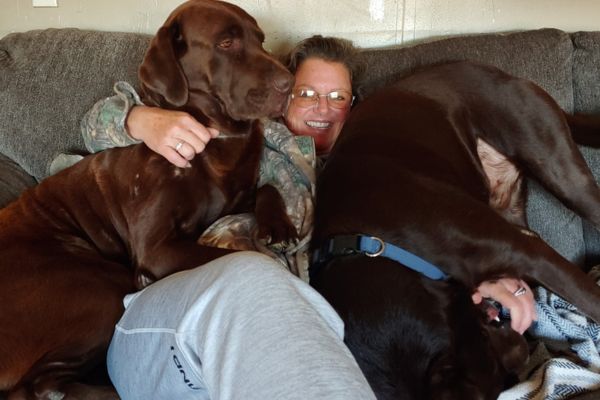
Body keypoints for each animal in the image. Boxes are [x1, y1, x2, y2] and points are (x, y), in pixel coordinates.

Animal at [0, 1, 296, 398]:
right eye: (227, 42)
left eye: (261, 40)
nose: (289, 84)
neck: (215, 143)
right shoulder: (157, 248)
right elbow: (246, 255)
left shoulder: (234, 199)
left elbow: (268, 188)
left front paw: (279, 225)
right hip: (100, 285)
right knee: (42, 385)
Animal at [312, 59, 600, 400]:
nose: (522, 353)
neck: (375, 244)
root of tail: (504, 75)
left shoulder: (526, 252)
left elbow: (591, 298)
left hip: (555, 164)